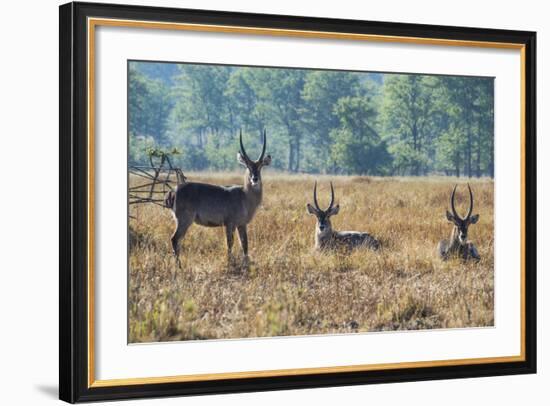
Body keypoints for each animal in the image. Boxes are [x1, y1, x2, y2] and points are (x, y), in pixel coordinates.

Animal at [166, 132, 274, 262]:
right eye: (247, 166)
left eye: (260, 166)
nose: (255, 179)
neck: (245, 196)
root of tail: (174, 190)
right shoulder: (230, 223)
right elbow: (230, 244)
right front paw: (230, 262)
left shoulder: (242, 224)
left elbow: (245, 245)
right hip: (184, 220)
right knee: (174, 239)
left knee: (177, 241)